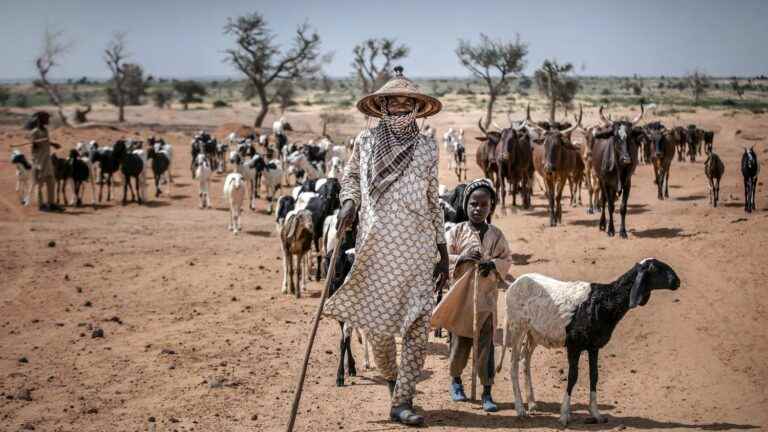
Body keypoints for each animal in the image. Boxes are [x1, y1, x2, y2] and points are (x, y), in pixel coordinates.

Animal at [496, 256, 680, 426]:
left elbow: (594, 376)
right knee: (513, 365)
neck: (604, 301)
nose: (677, 282)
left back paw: (532, 403)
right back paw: (520, 409)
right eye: (656, 269)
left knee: (525, 359)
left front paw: (596, 414)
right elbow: (573, 376)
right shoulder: (574, 345)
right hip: (517, 326)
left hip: (534, 332)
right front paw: (564, 415)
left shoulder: (593, 346)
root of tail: (514, 284)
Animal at [592, 105, 644, 240]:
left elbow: (623, 207)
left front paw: (622, 231)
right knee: (604, 200)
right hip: (601, 180)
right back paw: (602, 224)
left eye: (630, 136)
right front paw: (611, 230)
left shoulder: (627, 184)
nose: (626, 159)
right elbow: (610, 206)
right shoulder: (606, 183)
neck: (618, 168)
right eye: (615, 137)